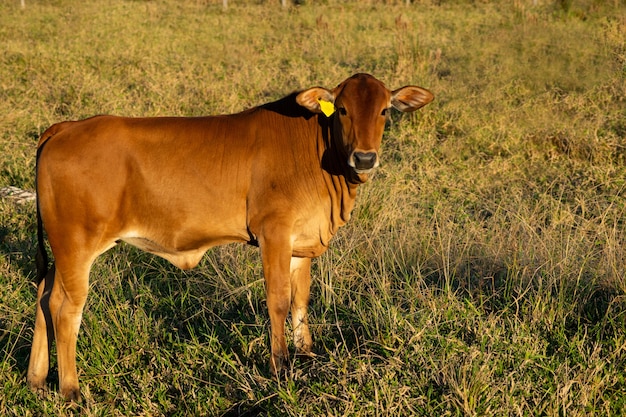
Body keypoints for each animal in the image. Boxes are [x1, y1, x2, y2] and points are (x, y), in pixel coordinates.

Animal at [26, 73, 432, 398]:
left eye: (384, 111)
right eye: (343, 110)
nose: (365, 158)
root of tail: (68, 127)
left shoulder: (300, 242)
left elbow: (301, 298)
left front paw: (305, 352)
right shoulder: (273, 233)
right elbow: (279, 300)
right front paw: (280, 365)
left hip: (64, 251)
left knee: (45, 296)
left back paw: (37, 379)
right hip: (76, 246)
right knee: (66, 309)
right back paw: (71, 390)